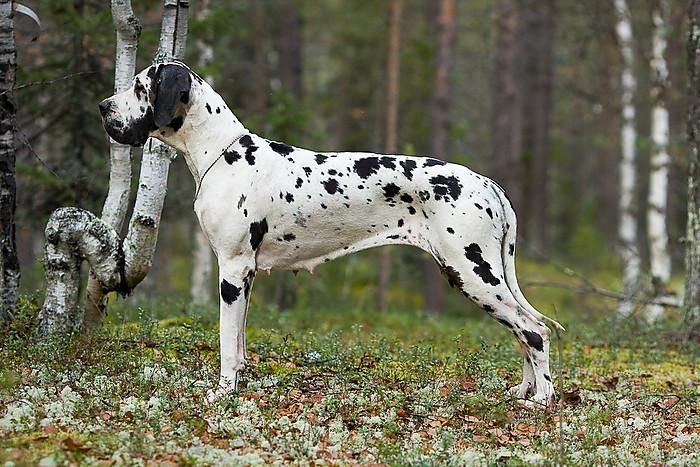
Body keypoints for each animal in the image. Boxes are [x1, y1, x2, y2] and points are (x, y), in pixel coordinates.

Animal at [99, 61, 564, 408]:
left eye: (139, 87)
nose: (103, 106)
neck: (222, 153)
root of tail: (488, 184)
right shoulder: (246, 275)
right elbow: (241, 340)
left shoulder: (231, 269)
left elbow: (227, 344)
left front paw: (223, 392)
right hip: (484, 276)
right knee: (524, 330)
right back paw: (524, 390)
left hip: (473, 272)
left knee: (533, 330)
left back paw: (542, 399)